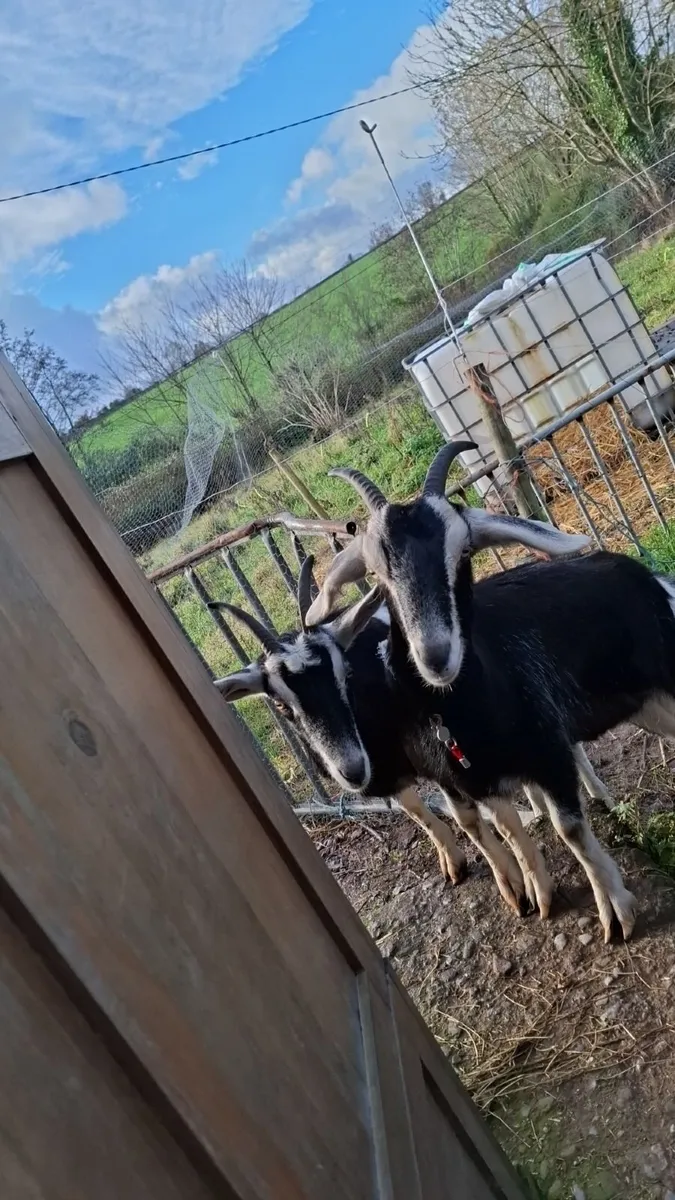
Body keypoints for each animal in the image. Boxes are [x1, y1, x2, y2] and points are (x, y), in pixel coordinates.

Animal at [212, 559, 551, 916]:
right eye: (279, 703)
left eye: (345, 673)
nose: (351, 769)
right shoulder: (386, 771)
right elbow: (416, 811)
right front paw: (454, 861)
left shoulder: (440, 756)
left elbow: (469, 818)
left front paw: (514, 888)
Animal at [301, 441, 675, 940]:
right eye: (378, 573)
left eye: (463, 551)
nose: (436, 655)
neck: (460, 712)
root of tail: (632, 568)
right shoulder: (476, 780)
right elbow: (510, 829)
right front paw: (536, 895)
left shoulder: (549, 752)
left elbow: (570, 831)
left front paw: (615, 911)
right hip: (646, 706)